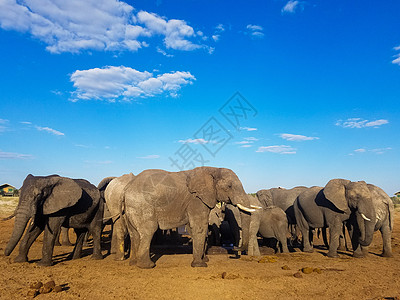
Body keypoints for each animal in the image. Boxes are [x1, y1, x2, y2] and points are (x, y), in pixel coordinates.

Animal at [122, 168, 255, 268]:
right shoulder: (196, 200)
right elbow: (200, 227)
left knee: (134, 234)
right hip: (142, 206)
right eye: (229, 186)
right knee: (149, 230)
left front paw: (203, 260)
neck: (212, 169)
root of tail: (127, 188)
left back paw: (133, 263)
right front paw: (200, 265)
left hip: (131, 209)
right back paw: (147, 266)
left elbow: (193, 228)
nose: (235, 248)